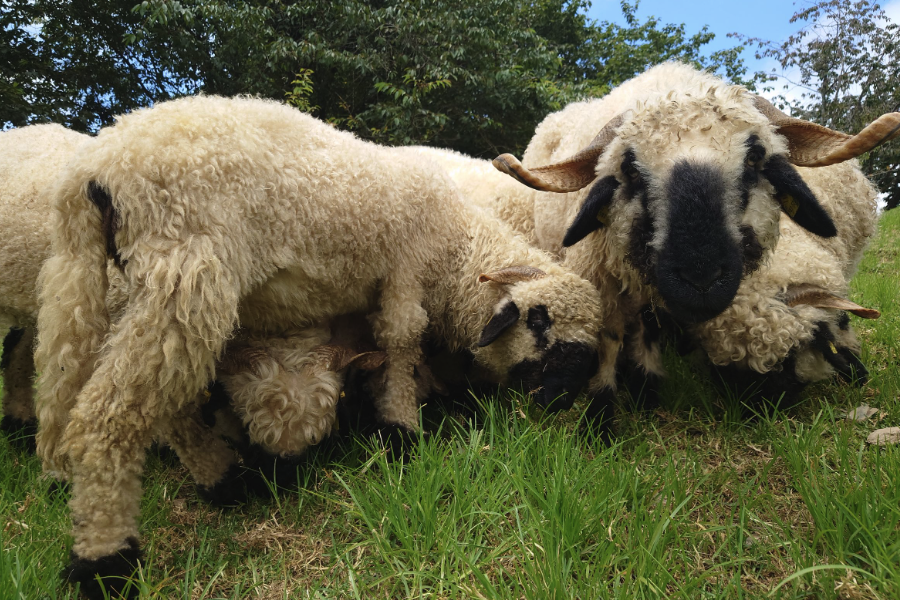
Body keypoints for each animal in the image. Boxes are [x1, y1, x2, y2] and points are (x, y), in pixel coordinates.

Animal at [37, 95, 612, 596]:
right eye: (540, 322)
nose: (562, 400)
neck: (456, 246)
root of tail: (97, 167)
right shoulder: (404, 271)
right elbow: (401, 340)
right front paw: (401, 430)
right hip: (188, 272)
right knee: (107, 417)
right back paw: (106, 561)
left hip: (94, 279)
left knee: (119, 395)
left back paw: (203, 479)